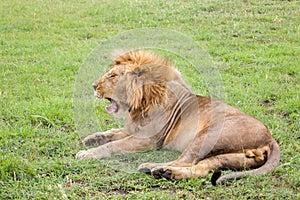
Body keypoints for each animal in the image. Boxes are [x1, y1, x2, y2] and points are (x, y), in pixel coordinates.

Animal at [76, 49, 280, 184]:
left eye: (112, 76)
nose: (93, 86)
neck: (139, 104)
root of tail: (269, 137)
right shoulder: (134, 129)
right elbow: (112, 132)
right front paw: (92, 138)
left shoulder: (149, 139)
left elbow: (113, 145)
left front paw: (88, 153)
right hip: (232, 157)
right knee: (201, 167)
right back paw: (165, 172)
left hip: (208, 134)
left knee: (185, 160)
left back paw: (153, 167)